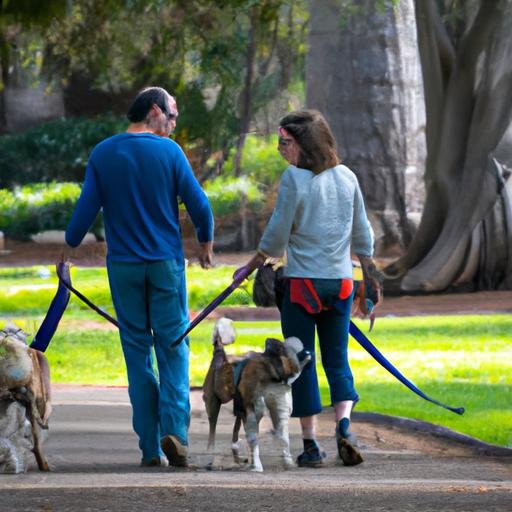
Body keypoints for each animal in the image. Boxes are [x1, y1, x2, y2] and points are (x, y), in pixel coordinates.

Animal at [202, 318, 310, 474]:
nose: (308, 351)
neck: (272, 371)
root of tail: (220, 354)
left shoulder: (278, 411)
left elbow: (283, 438)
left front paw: (288, 462)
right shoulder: (253, 410)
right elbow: (254, 439)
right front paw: (257, 466)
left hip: (239, 410)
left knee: (235, 436)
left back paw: (239, 458)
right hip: (215, 404)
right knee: (212, 434)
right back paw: (211, 455)